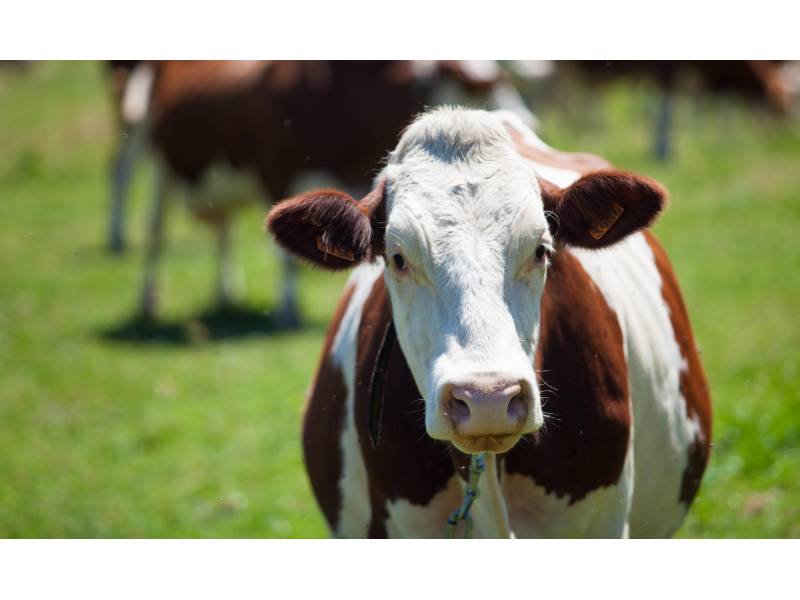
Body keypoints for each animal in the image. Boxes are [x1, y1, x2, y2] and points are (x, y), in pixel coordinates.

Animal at [109, 59, 536, 328]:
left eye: (502, 77)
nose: (527, 120)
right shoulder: (277, 172)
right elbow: (285, 259)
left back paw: (227, 292)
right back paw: (148, 298)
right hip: (154, 153)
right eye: (481, 86)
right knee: (152, 224)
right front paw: (287, 310)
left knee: (224, 228)